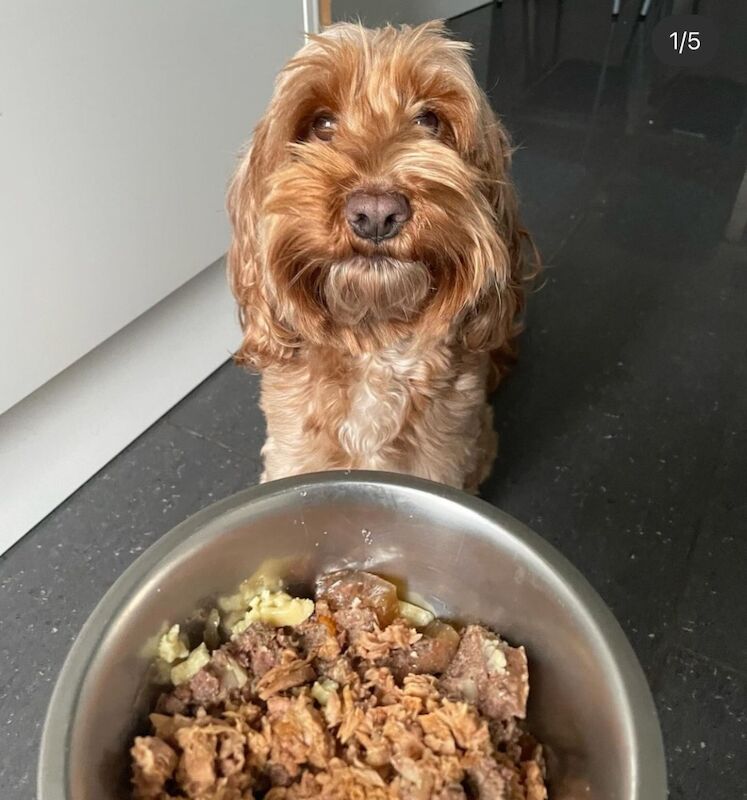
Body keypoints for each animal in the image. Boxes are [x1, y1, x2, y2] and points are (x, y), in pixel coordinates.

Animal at [225, 18, 536, 490]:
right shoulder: (291, 458)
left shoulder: (441, 464)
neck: (374, 346)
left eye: (429, 120)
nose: (376, 213)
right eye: (322, 123)